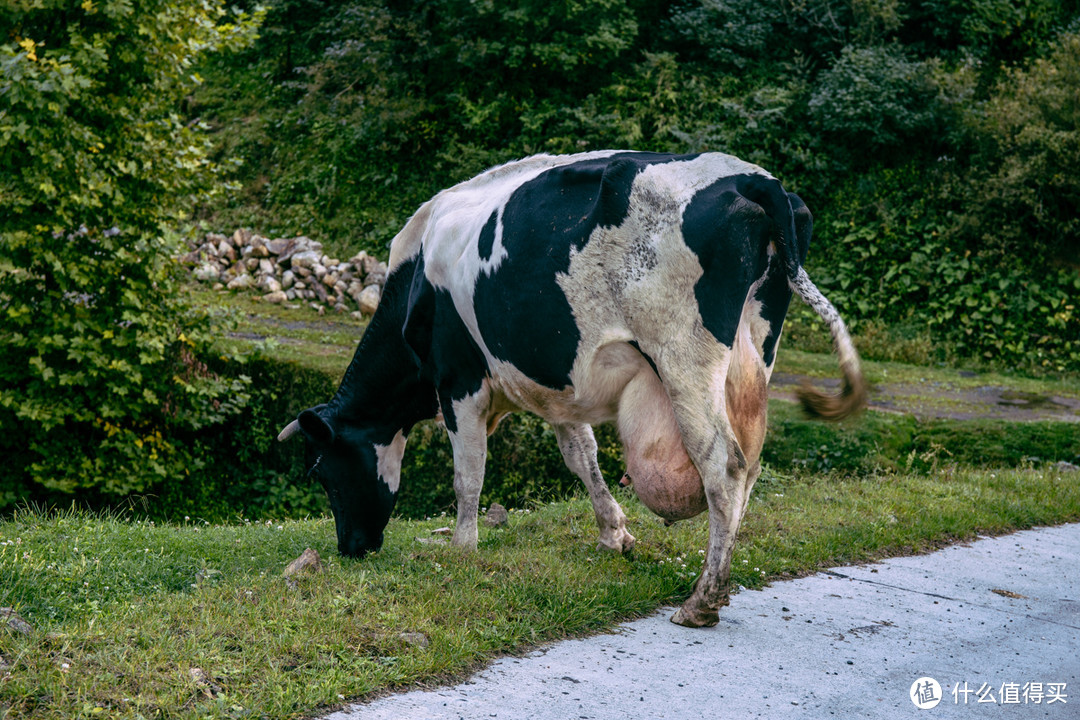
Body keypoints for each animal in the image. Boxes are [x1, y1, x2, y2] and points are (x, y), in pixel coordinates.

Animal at [278, 151, 868, 626]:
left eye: (323, 473)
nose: (351, 548)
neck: (416, 281)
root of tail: (750, 178)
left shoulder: (459, 382)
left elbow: (468, 474)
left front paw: (463, 548)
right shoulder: (555, 389)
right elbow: (581, 456)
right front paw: (614, 534)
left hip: (684, 357)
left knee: (722, 466)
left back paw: (701, 601)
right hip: (755, 351)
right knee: (749, 465)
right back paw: (716, 585)